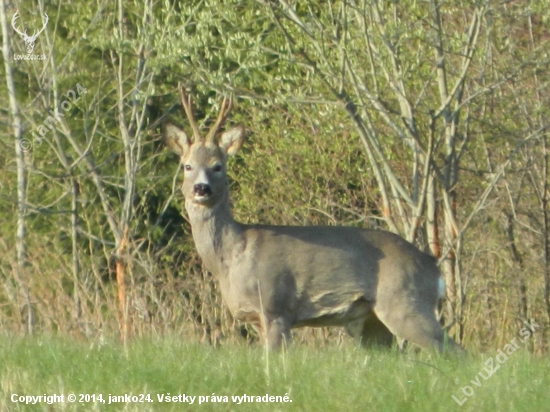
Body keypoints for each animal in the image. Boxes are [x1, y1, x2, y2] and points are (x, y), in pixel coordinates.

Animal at [163, 85, 462, 352]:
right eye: (187, 166)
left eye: (218, 166)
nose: (201, 188)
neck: (231, 256)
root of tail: (432, 266)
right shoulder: (258, 319)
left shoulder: (275, 306)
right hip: (372, 322)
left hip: (405, 302)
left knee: (456, 352)